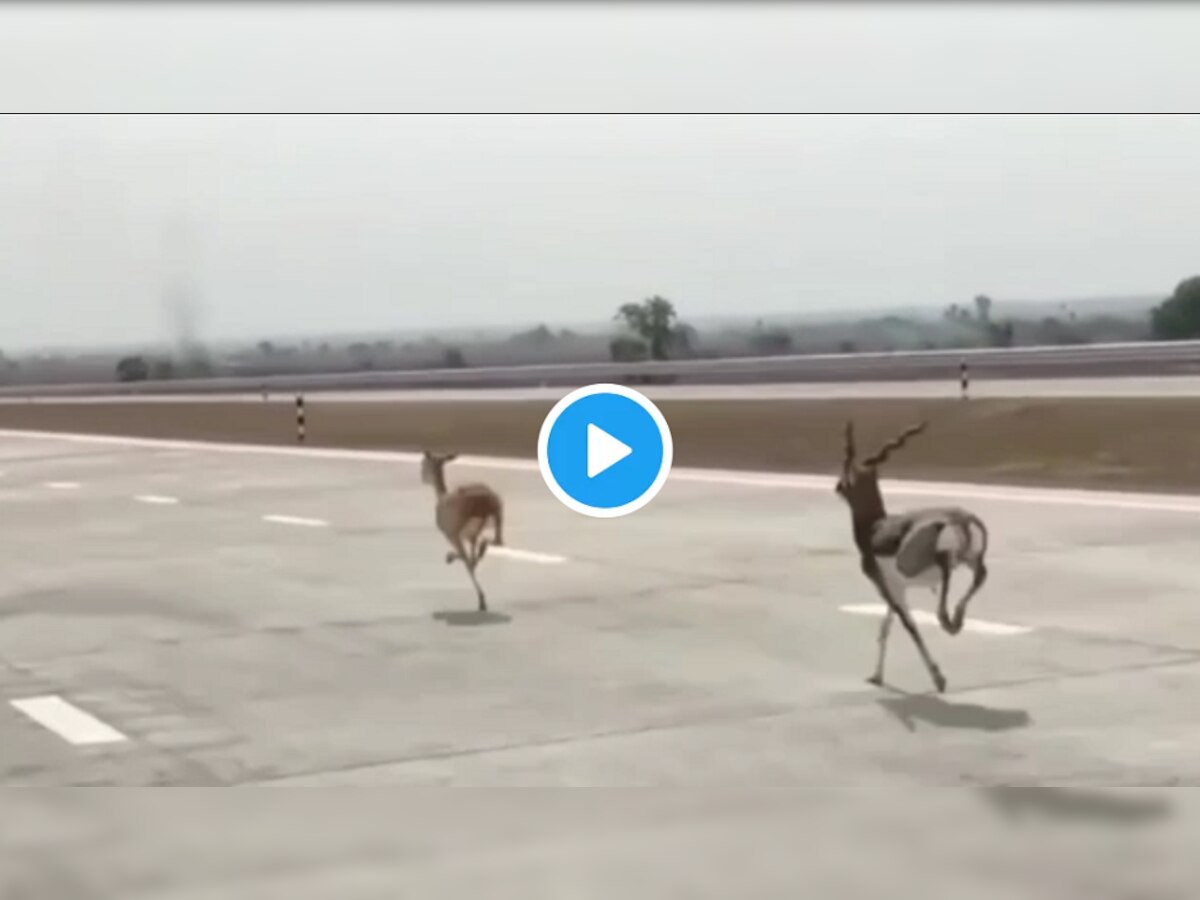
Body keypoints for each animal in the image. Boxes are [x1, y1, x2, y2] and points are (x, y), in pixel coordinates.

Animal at [420, 451, 504, 614]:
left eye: (424, 464)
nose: (422, 477)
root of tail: (484, 502)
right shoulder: (469, 536)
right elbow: (471, 559)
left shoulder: (451, 534)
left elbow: (467, 561)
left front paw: (449, 557)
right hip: (496, 519)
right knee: (496, 543)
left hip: (458, 532)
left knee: (470, 560)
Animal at [835, 420, 993, 696]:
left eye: (848, 474)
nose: (837, 487)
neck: (874, 528)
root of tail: (960, 519)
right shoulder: (896, 588)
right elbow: (886, 627)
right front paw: (876, 676)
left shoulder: (885, 586)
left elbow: (909, 626)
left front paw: (938, 677)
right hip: (969, 558)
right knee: (981, 573)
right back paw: (957, 619)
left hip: (919, 563)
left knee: (945, 572)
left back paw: (948, 621)